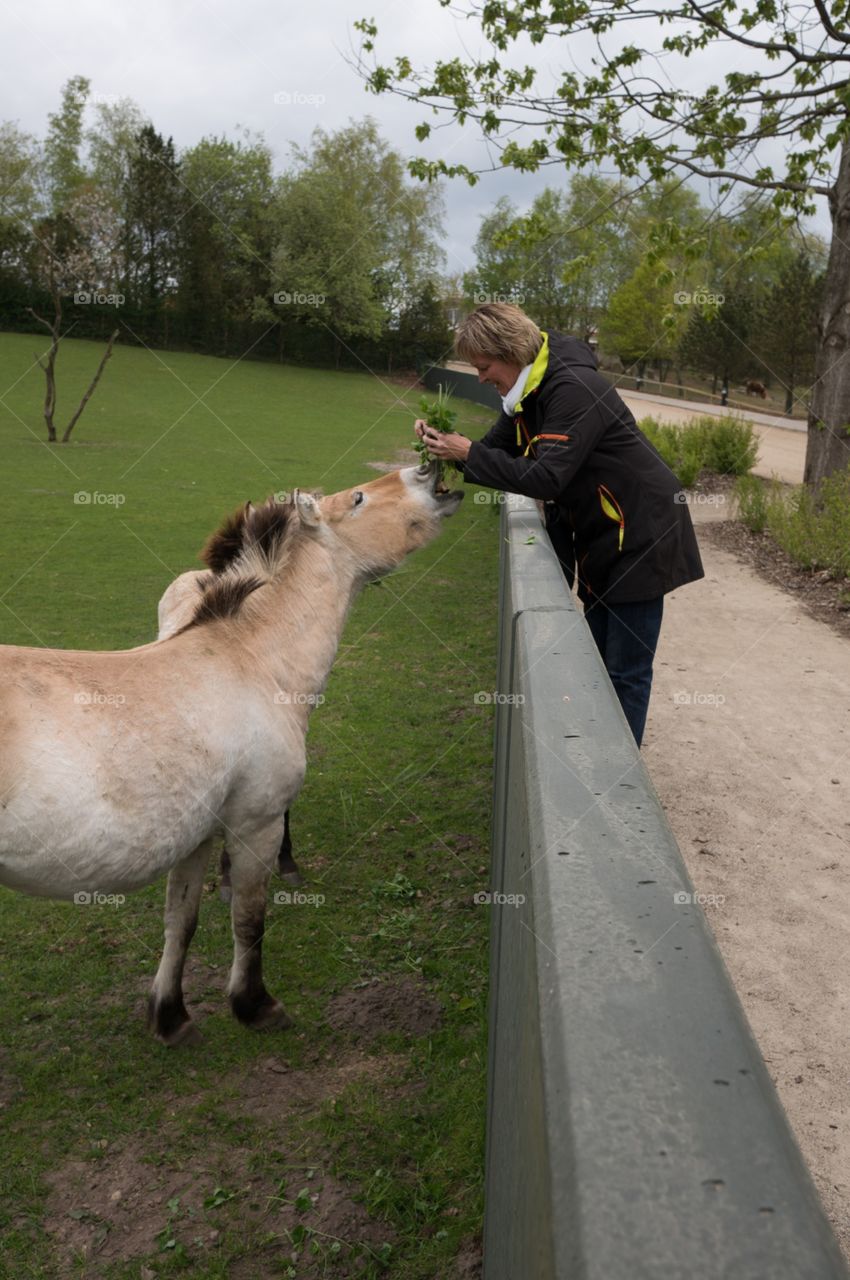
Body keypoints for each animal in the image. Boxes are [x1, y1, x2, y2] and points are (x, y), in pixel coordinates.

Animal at [0, 464, 463, 1045]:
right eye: (358, 498)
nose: (428, 468)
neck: (250, 659)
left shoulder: (195, 836)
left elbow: (182, 922)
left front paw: (170, 1015)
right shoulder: (255, 825)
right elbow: (249, 919)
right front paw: (255, 1004)